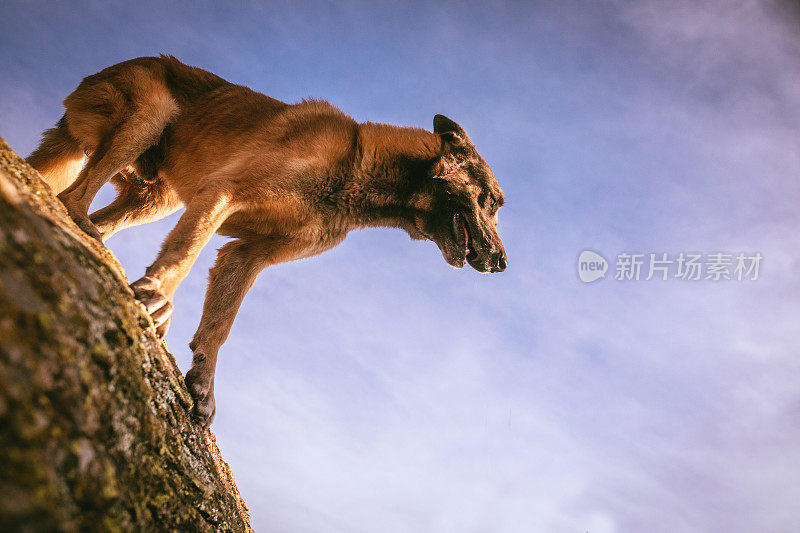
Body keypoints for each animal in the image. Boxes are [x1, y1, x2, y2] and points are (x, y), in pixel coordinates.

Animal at [29, 56, 506, 426]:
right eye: (491, 202)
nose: (502, 263)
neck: (355, 165)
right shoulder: (223, 191)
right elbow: (184, 253)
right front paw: (157, 295)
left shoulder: (246, 255)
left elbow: (220, 324)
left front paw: (203, 385)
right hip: (149, 117)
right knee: (74, 197)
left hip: (157, 198)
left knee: (85, 208)